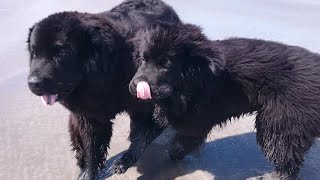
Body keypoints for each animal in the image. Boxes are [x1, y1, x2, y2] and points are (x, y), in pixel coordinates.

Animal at [26, 0, 180, 179]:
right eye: (34, 53)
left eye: (60, 53)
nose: (33, 83)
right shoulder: (88, 115)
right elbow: (90, 147)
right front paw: (88, 172)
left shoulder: (145, 104)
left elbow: (143, 135)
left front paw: (124, 161)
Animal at [129, 23, 320, 179]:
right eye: (143, 59)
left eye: (166, 64)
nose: (135, 86)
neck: (196, 77)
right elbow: (144, 134)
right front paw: (127, 158)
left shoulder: (195, 120)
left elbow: (183, 139)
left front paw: (175, 153)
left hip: (280, 124)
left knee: (287, 159)